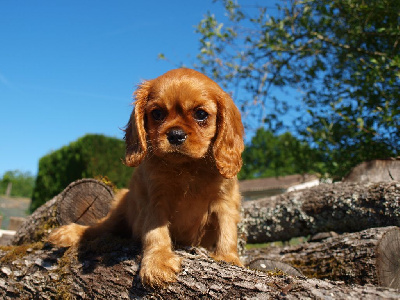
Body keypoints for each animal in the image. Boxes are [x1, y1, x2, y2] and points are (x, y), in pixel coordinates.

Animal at [48, 67, 245, 286]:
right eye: (157, 113)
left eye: (201, 114)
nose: (176, 134)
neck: (187, 167)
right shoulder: (155, 199)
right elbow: (156, 232)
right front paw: (158, 262)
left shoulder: (225, 201)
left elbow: (227, 229)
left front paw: (228, 258)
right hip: (120, 210)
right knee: (97, 228)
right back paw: (69, 233)